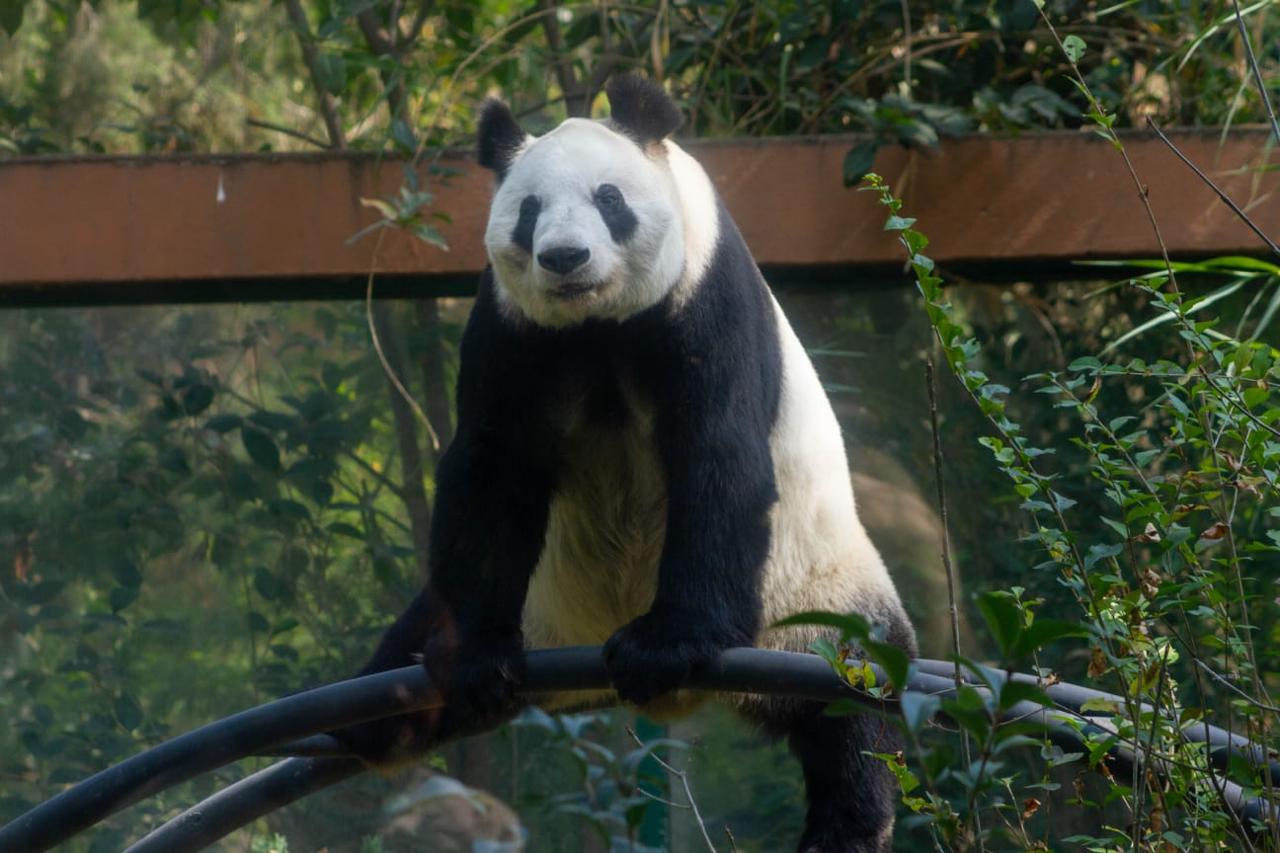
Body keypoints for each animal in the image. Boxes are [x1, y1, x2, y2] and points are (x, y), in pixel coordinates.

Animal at [339, 75, 917, 853]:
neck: (599, 323)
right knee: (396, 679)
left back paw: (846, 827)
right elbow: (494, 468)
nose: (564, 258)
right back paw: (373, 725)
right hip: (532, 601)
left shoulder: (703, 295)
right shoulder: (511, 331)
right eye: (528, 211)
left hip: (815, 598)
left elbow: (716, 454)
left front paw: (666, 644)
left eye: (609, 199)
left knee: (854, 709)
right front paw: (478, 663)